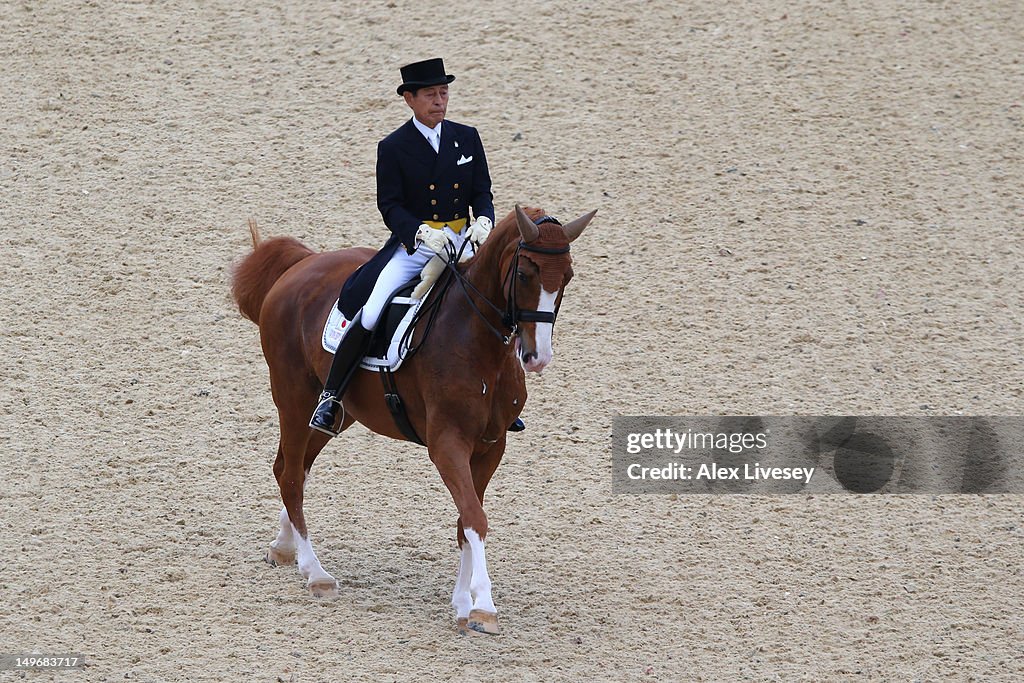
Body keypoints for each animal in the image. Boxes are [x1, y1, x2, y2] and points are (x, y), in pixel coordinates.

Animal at [231, 204, 598, 634]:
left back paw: (283, 547)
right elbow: (475, 517)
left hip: (337, 412)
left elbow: (465, 521)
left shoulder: (491, 446)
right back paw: (315, 572)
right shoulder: (447, 444)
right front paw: (483, 607)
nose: (538, 357)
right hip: (293, 397)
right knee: (290, 475)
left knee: (293, 466)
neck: (477, 343)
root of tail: (304, 263)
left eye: (568, 276)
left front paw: (462, 604)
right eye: (524, 273)